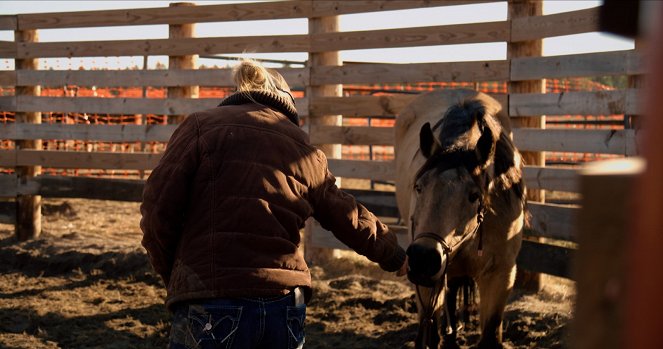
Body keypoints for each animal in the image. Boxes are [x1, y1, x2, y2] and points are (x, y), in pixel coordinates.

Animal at [394, 88, 528, 346]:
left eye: (474, 195)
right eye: (418, 186)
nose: (423, 258)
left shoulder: (501, 275)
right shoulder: (428, 281)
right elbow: (430, 334)